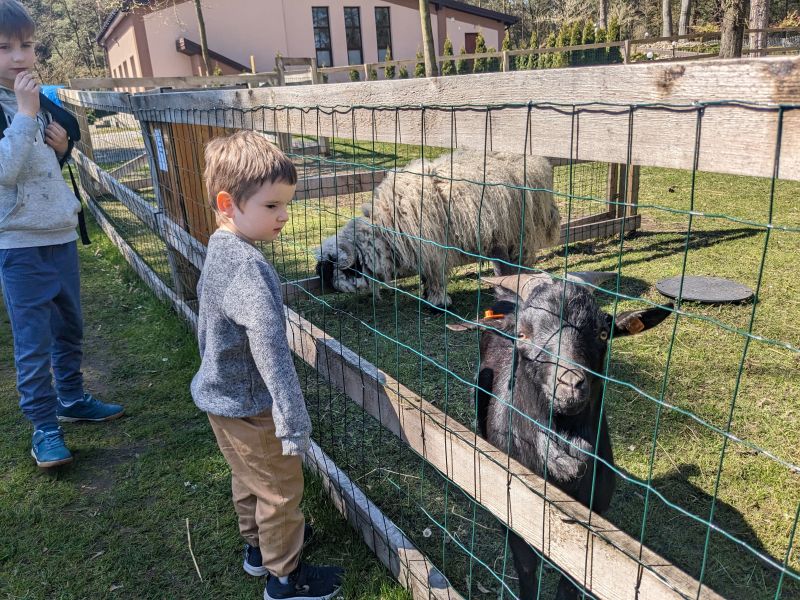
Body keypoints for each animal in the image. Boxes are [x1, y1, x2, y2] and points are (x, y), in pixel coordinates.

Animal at [316, 150, 560, 310]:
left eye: (334, 268)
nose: (325, 287)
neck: (386, 228)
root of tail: (535, 161)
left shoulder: (433, 248)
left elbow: (435, 276)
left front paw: (437, 301)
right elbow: (426, 275)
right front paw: (427, 295)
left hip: (517, 230)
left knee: (518, 262)